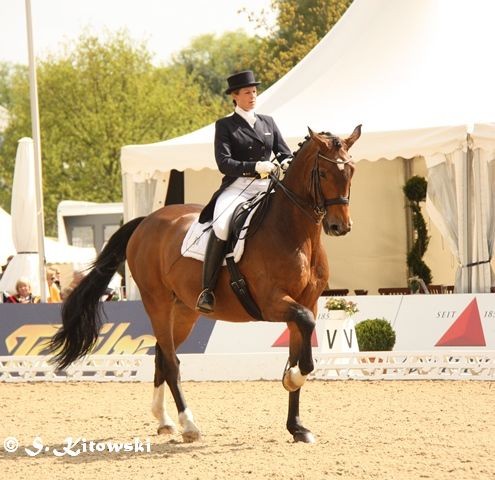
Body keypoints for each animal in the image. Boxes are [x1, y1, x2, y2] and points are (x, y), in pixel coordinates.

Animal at [49, 124, 360, 442]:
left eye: (351, 171)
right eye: (324, 173)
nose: (340, 226)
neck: (295, 234)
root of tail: (147, 221)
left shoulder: (306, 301)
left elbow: (298, 348)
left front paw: (297, 426)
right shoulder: (273, 303)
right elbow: (305, 332)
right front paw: (292, 378)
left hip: (184, 311)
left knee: (161, 355)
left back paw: (164, 420)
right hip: (157, 303)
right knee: (171, 362)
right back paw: (188, 425)